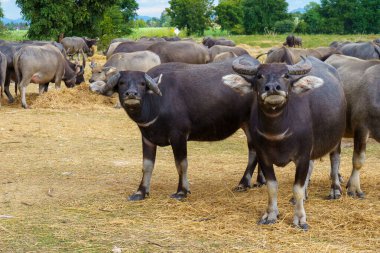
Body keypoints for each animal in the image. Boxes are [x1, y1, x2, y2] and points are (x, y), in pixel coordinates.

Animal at [90, 57, 260, 202]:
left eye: (142, 84)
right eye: (122, 83)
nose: (131, 94)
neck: (156, 104)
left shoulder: (179, 136)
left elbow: (181, 164)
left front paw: (182, 191)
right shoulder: (147, 137)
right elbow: (147, 166)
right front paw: (141, 192)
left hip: (251, 125)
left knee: (254, 152)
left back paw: (244, 183)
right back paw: (258, 181)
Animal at [223, 55, 348, 229]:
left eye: (286, 76)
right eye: (259, 76)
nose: (273, 88)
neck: (278, 132)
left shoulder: (302, 156)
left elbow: (297, 188)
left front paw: (300, 219)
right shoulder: (264, 157)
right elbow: (272, 186)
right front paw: (270, 214)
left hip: (336, 139)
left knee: (335, 159)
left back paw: (335, 190)